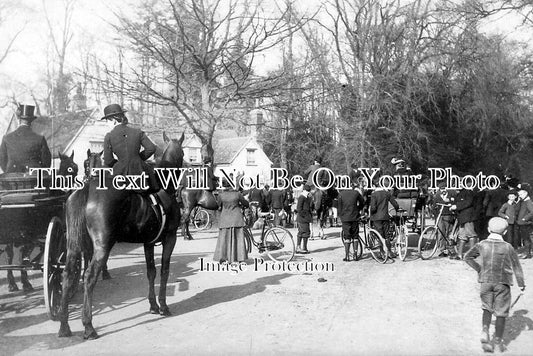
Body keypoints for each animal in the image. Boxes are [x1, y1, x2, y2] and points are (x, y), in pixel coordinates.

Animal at [57, 132, 184, 338]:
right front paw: (163, 306)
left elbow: (151, 272)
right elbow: (164, 271)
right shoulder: (170, 238)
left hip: (73, 245)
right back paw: (88, 325)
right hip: (102, 246)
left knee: (68, 275)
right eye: (182, 153)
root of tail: (88, 187)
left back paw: (64, 325)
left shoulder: (148, 243)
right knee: (89, 277)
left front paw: (153, 305)